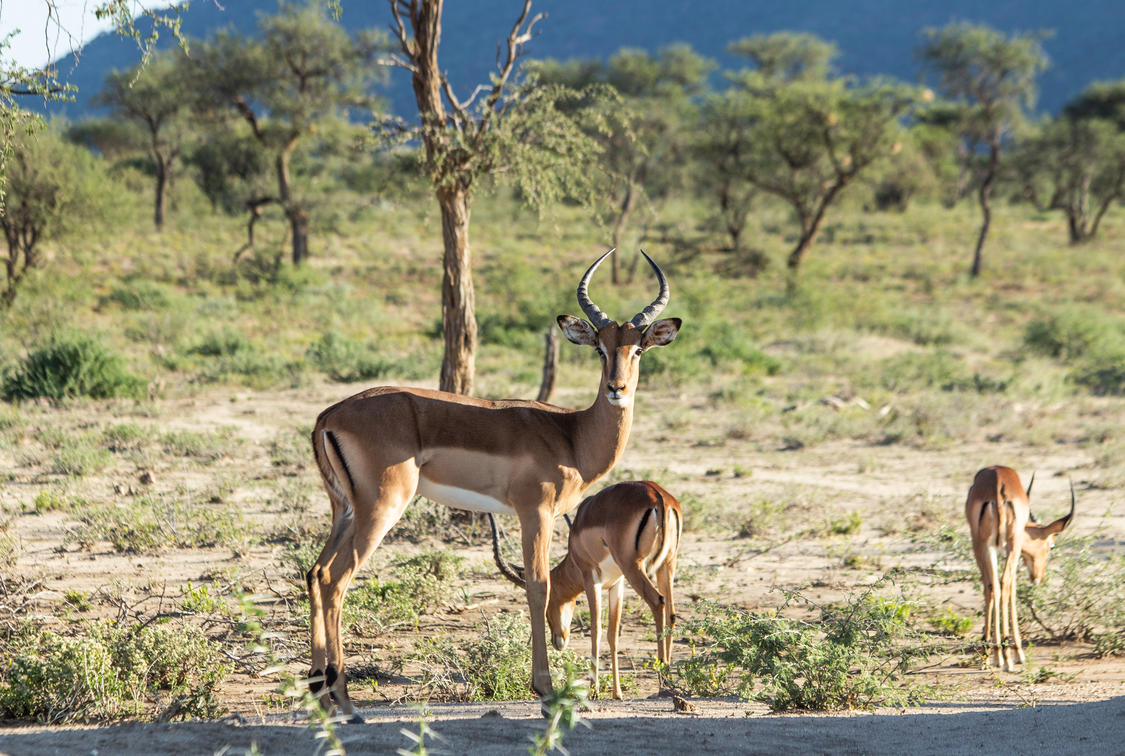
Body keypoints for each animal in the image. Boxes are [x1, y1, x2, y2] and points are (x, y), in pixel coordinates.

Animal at [490, 480, 682, 699]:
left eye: (549, 604)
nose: (558, 641)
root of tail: (658, 495)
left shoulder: (591, 579)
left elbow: (596, 630)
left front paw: (594, 690)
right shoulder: (617, 584)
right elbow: (613, 635)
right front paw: (617, 693)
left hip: (634, 566)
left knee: (658, 601)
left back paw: (661, 684)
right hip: (666, 565)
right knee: (671, 613)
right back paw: (668, 681)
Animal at [965, 465, 1076, 671]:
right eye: (1051, 546)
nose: (1039, 577)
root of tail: (997, 484)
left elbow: (991, 587)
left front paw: (990, 655)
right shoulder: (1014, 550)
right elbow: (1013, 590)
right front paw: (1018, 653)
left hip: (984, 545)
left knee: (993, 586)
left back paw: (994, 655)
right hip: (1008, 545)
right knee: (1004, 585)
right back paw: (1007, 657)